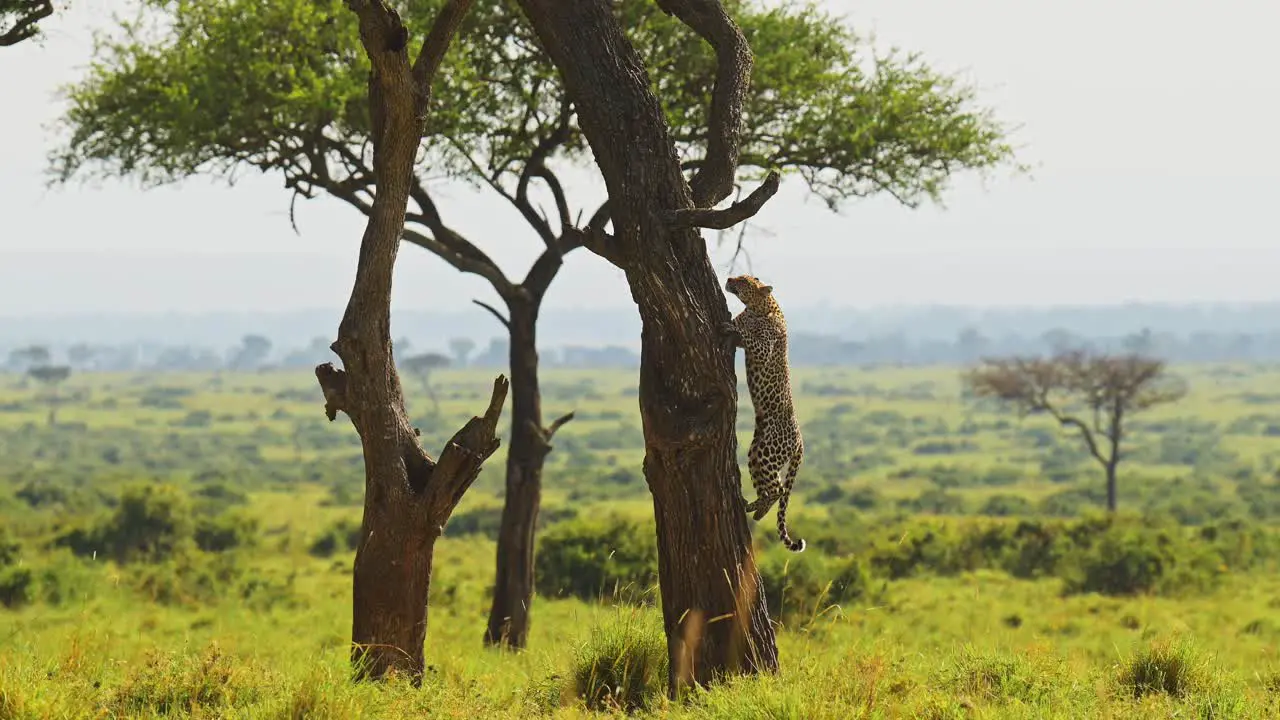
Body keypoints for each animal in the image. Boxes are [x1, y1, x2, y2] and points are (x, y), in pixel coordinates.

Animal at [716, 272, 803, 548]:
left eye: (743, 281)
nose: (729, 279)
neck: (760, 308)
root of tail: (800, 441)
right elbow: (741, 328)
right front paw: (732, 325)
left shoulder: (763, 348)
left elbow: (748, 335)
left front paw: (730, 328)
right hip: (757, 451)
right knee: (770, 487)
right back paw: (755, 509)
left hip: (768, 451)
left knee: (778, 489)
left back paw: (754, 509)